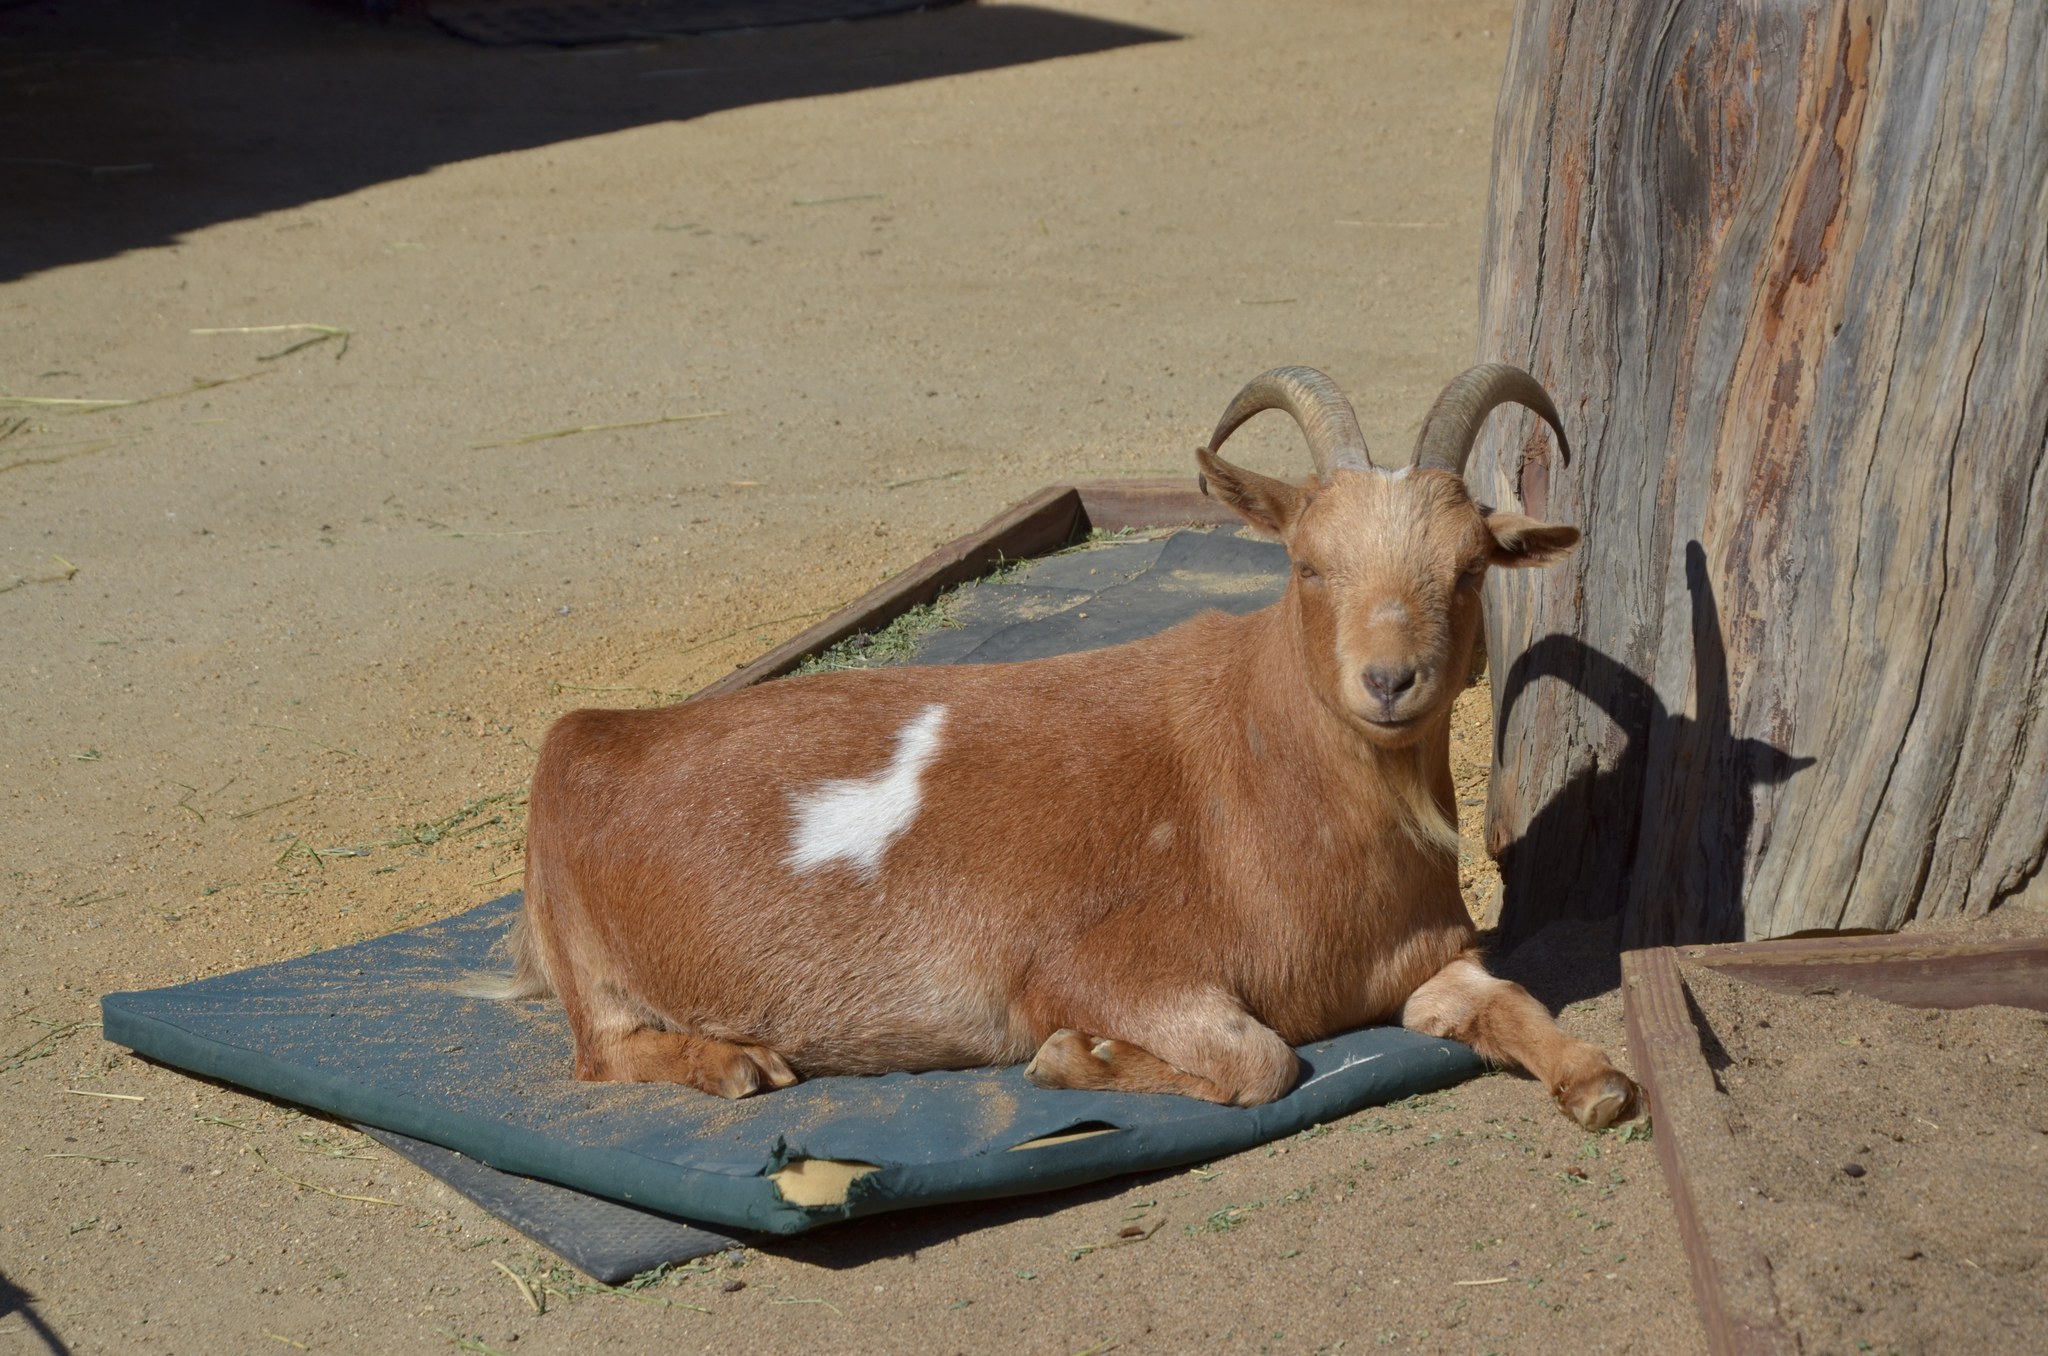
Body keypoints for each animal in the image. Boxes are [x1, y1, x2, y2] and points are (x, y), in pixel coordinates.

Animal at [491, 365, 1640, 1129]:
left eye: (1469, 568)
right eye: (1307, 564)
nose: (1389, 682)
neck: (1267, 765)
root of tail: (593, 734)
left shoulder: (1427, 962)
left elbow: (1505, 1002)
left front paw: (1597, 1082)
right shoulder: (1099, 960)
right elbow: (1260, 1062)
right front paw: (1071, 1059)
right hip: (590, 960)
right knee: (599, 1051)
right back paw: (733, 1065)